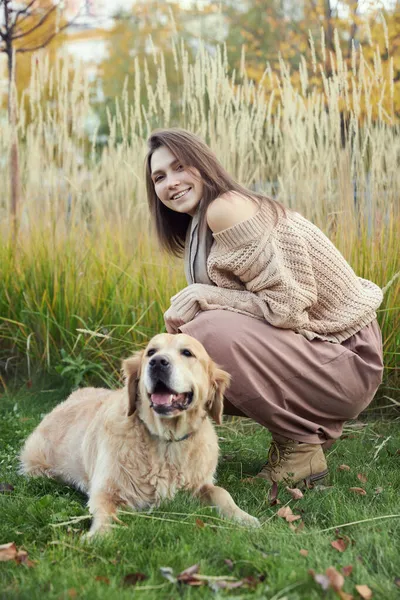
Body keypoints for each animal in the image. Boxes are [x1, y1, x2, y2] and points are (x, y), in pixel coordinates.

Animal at [19, 336, 260, 536]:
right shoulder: (106, 490)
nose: (158, 362)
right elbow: (105, 512)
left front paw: (244, 518)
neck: (167, 441)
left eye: (187, 352)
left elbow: (221, 492)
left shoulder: (200, 485)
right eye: (151, 351)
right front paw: (99, 536)